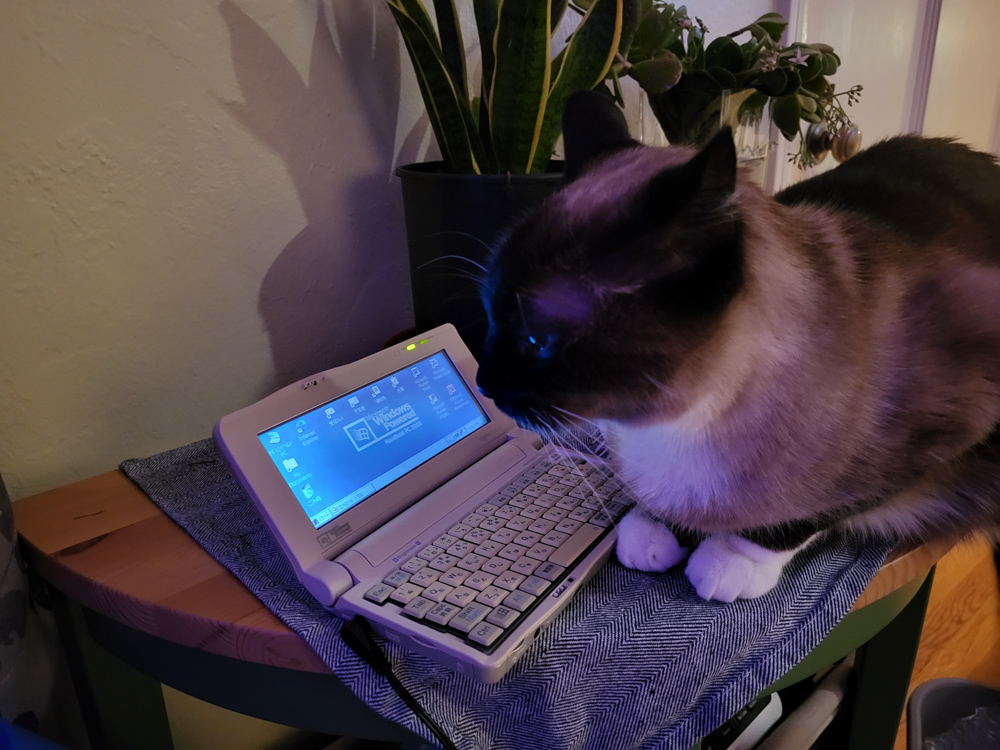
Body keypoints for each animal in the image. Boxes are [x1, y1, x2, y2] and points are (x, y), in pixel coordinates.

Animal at [475, 90, 1000, 602]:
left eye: (537, 341)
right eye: (489, 317)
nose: (484, 384)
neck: (680, 426)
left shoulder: (954, 429)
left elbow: (804, 516)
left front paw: (727, 560)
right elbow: (659, 501)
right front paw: (654, 529)